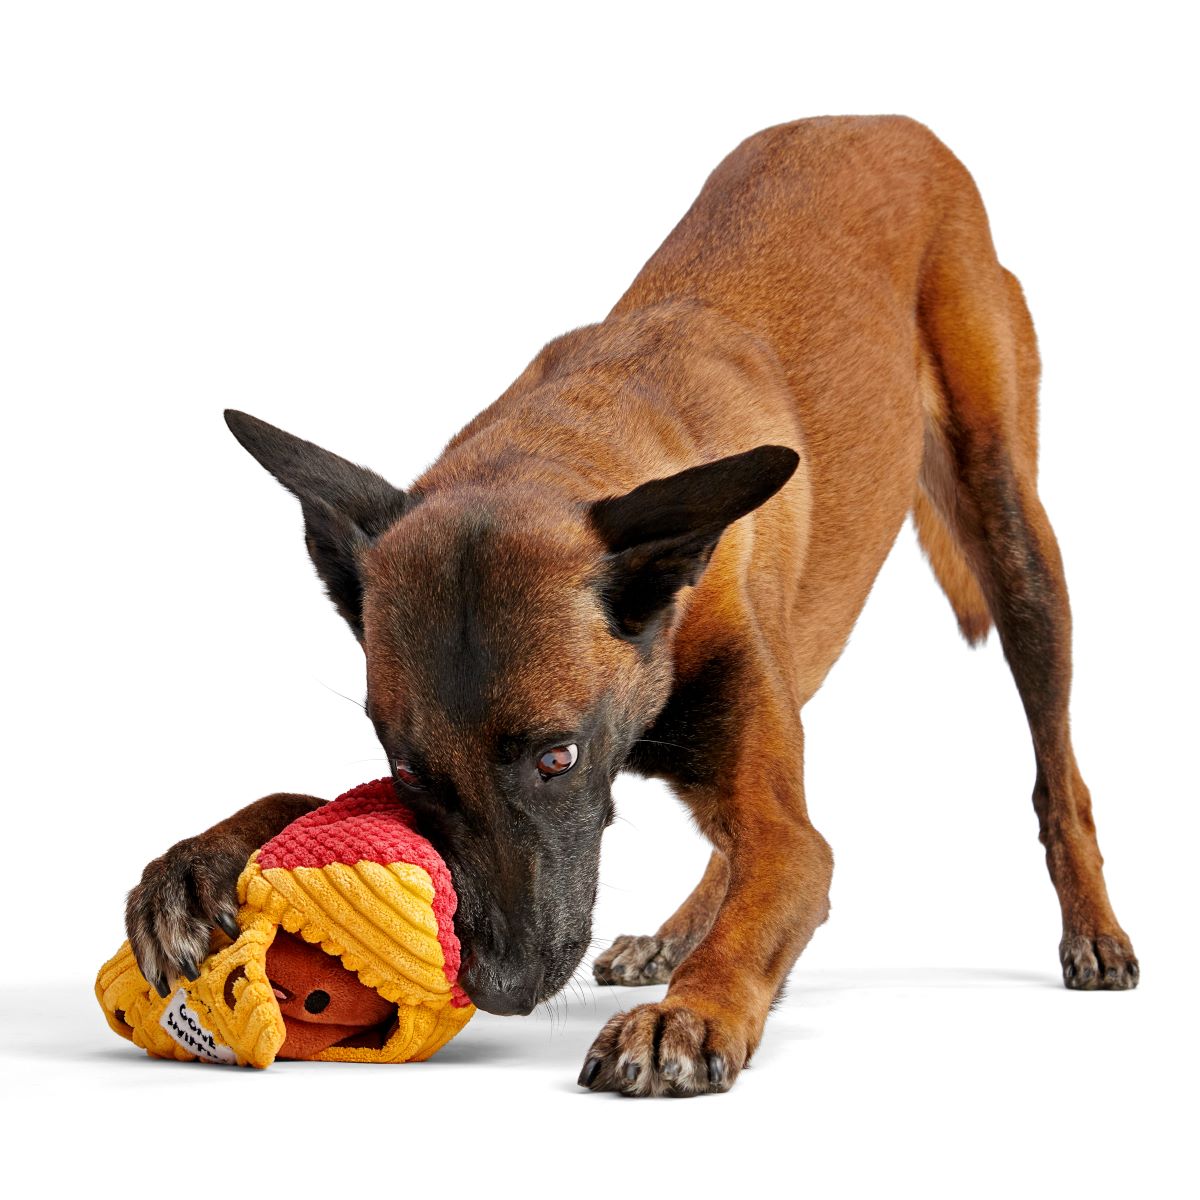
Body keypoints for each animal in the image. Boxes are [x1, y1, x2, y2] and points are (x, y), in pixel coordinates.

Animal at [125, 115, 1138, 1096]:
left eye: (557, 758)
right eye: (407, 770)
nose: (500, 989)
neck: (563, 446)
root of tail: (894, 124)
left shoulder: (785, 824)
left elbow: (779, 878)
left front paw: (688, 1013)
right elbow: (305, 801)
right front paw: (199, 864)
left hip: (1013, 538)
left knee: (1057, 775)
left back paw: (1092, 926)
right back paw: (672, 931)